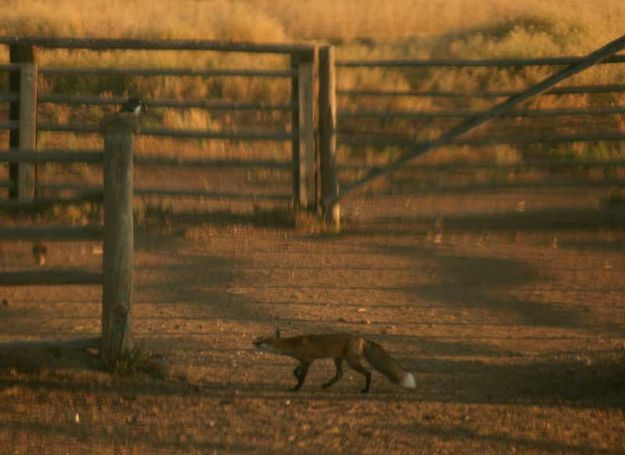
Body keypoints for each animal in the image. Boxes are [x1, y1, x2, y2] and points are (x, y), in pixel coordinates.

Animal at [254, 326, 414, 394]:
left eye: (262, 341)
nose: (253, 342)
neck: (293, 344)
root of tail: (361, 338)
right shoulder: (303, 361)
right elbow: (295, 371)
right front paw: (297, 379)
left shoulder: (307, 361)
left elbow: (302, 377)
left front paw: (296, 388)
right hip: (338, 360)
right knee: (339, 375)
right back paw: (326, 385)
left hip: (351, 361)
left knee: (368, 373)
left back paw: (366, 390)